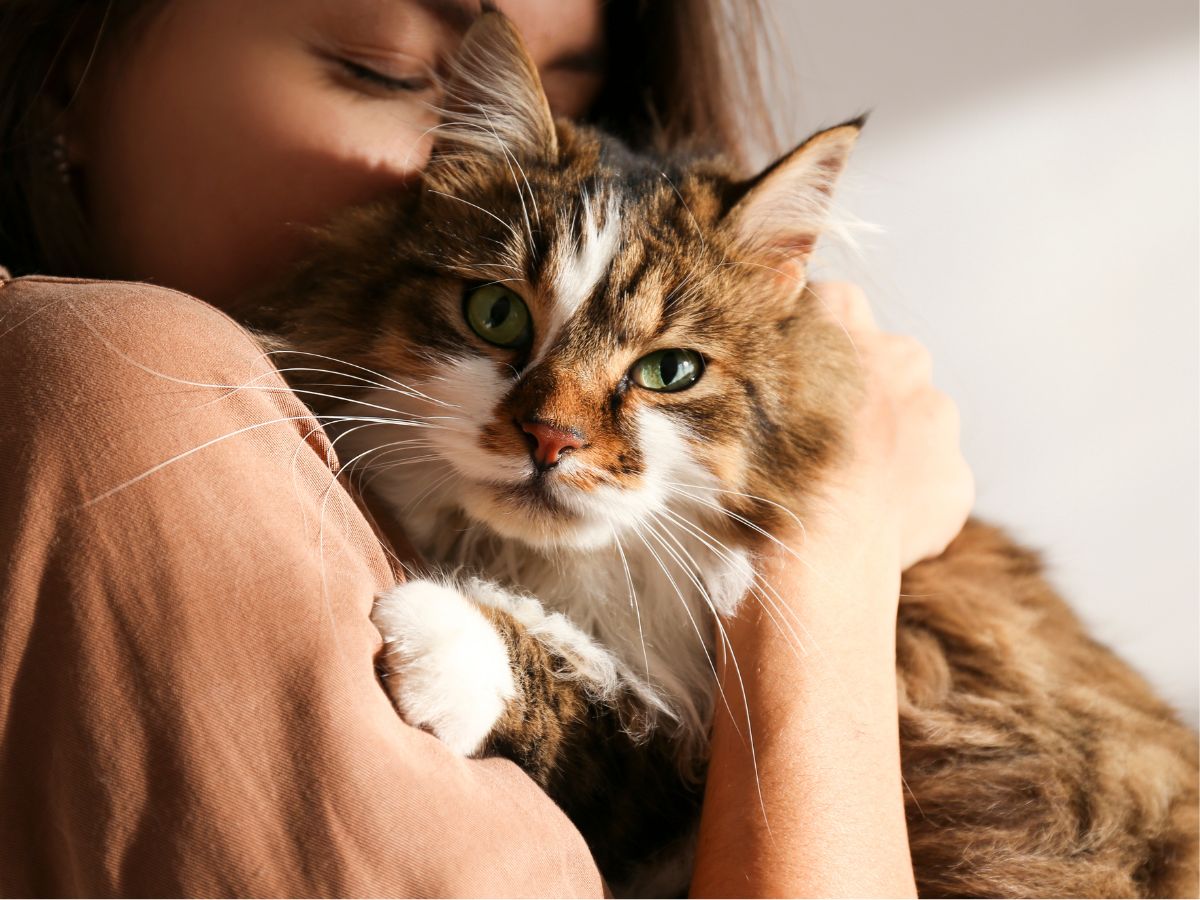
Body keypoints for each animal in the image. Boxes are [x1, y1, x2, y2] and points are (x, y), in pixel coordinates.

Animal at [246, 10, 1200, 897]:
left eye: (670, 371)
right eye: (496, 315)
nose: (551, 438)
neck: (561, 574)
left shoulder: (678, 766)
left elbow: (591, 700)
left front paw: (445, 637)